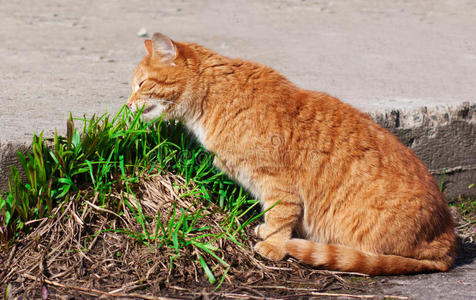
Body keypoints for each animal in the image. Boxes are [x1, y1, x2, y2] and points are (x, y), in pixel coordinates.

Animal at [128, 32, 456, 274]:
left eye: (142, 84)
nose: (128, 104)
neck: (214, 99)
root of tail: (449, 240)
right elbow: (273, 213)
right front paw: (268, 233)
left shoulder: (277, 183)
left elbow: (280, 214)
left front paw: (274, 246)